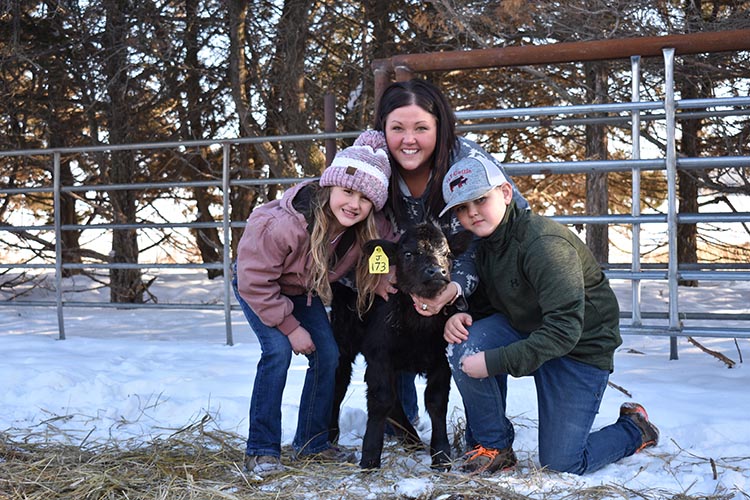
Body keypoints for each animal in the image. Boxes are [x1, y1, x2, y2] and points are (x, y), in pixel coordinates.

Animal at [328, 223, 470, 468]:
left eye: (448, 254)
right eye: (408, 254)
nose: (436, 272)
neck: (418, 328)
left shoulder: (441, 360)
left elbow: (436, 401)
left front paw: (441, 455)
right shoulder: (379, 355)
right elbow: (380, 399)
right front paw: (370, 457)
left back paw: (412, 440)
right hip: (343, 344)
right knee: (339, 384)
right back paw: (329, 435)